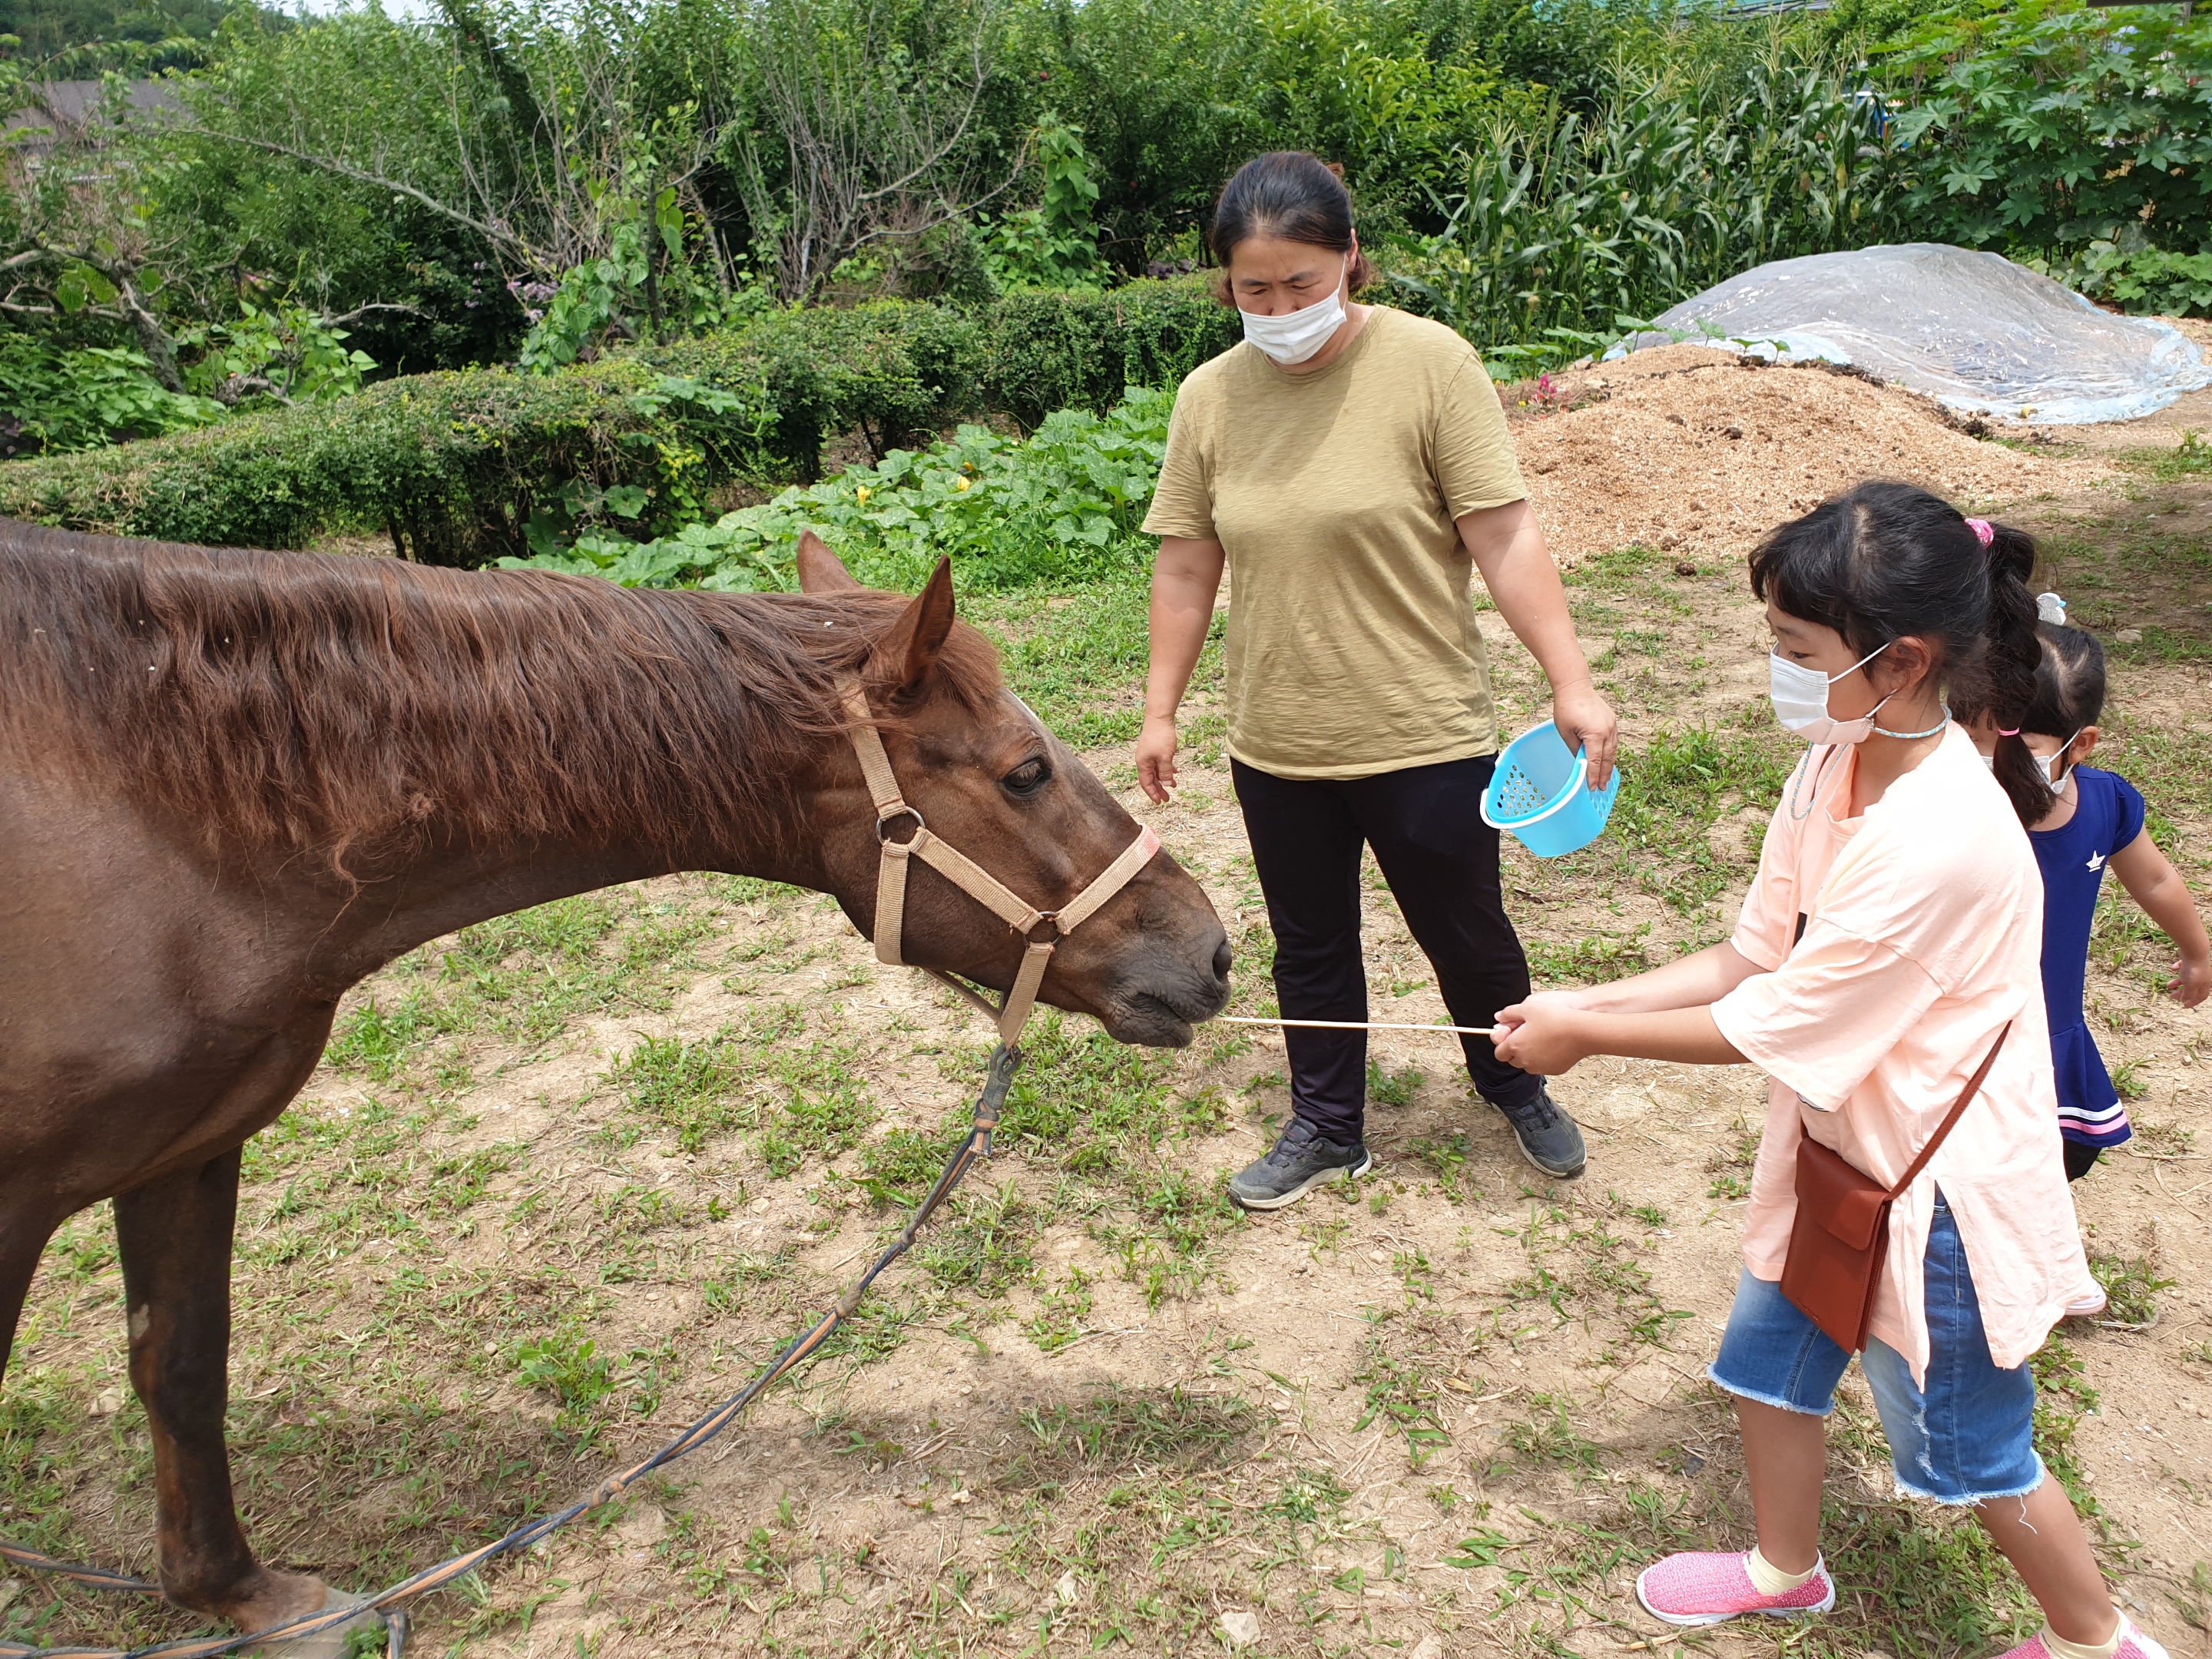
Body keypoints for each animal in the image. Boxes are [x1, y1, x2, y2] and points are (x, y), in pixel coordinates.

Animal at [0, 526, 1230, 1645]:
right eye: (1025, 771)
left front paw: (246, 1601)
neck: (161, 814)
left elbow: (183, 1368)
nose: (1213, 951)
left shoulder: (191, 1145)